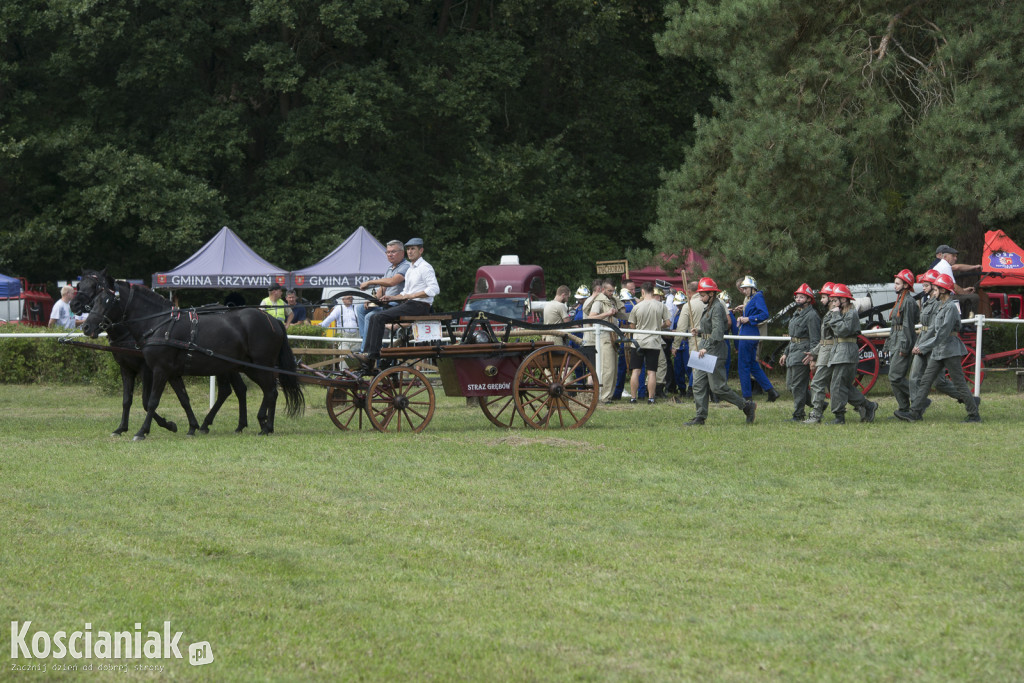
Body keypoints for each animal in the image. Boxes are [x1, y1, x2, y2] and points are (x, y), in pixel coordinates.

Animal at [77, 270, 301, 440]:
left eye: (107, 300)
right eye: (95, 299)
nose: (86, 326)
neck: (159, 324)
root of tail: (273, 321)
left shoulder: (157, 370)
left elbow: (151, 401)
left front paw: (142, 431)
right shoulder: (169, 372)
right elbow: (182, 399)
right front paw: (191, 426)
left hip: (258, 365)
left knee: (269, 391)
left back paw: (263, 424)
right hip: (242, 367)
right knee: (257, 391)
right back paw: (260, 425)